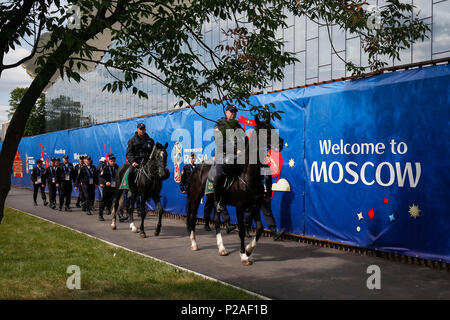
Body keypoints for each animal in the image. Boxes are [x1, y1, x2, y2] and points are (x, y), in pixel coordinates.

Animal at [185, 117, 284, 264]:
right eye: (265, 130)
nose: (281, 143)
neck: (248, 175)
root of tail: (197, 167)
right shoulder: (240, 207)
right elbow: (242, 230)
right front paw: (244, 255)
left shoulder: (255, 206)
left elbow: (259, 228)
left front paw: (249, 250)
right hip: (195, 196)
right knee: (192, 216)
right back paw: (194, 244)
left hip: (213, 199)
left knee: (216, 221)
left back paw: (222, 248)